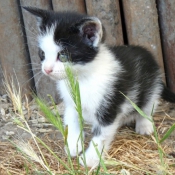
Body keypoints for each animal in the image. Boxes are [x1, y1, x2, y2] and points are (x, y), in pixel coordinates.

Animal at [23, 6, 175, 167]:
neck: (82, 78)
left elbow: (101, 135)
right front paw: (73, 144)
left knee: (148, 104)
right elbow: (71, 119)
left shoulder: (109, 104)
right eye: (42, 53)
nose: (47, 69)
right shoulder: (72, 102)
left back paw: (144, 125)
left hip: (151, 86)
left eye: (63, 55)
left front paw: (90, 158)